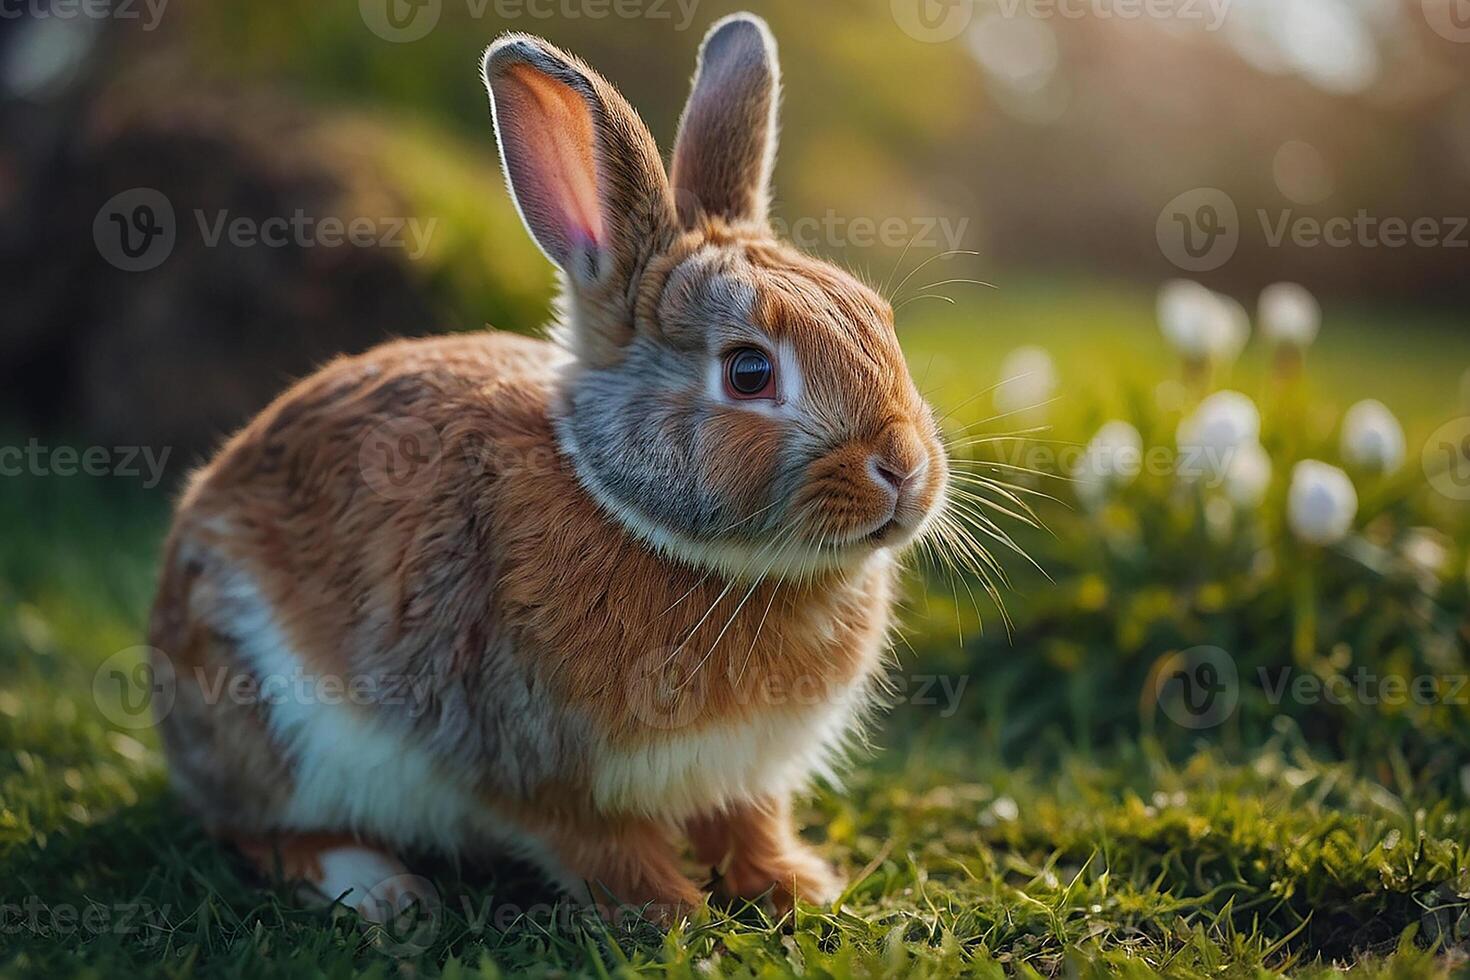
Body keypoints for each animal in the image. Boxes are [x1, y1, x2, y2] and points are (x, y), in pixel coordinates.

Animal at [149, 11, 952, 922]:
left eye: (879, 319)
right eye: (749, 372)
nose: (904, 468)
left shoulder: (745, 774)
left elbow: (750, 822)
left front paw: (797, 884)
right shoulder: (539, 765)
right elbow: (604, 851)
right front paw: (673, 913)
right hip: (267, 719)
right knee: (259, 830)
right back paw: (382, 888)